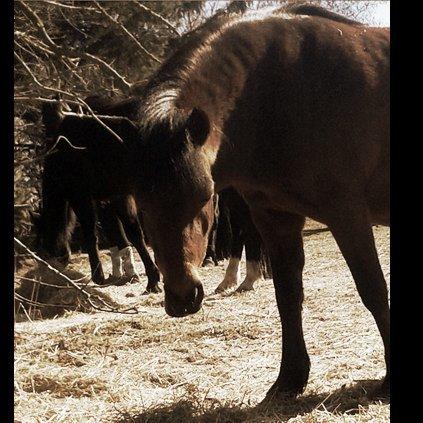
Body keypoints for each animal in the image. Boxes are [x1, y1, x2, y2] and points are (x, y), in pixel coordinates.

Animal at [127, 4, 392, 398]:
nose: (182, 296)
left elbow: (373, 290)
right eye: (142, 204)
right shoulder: (274, 218)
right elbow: (287, 296)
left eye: (205, 195)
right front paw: (290, 378)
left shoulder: (348, 215)